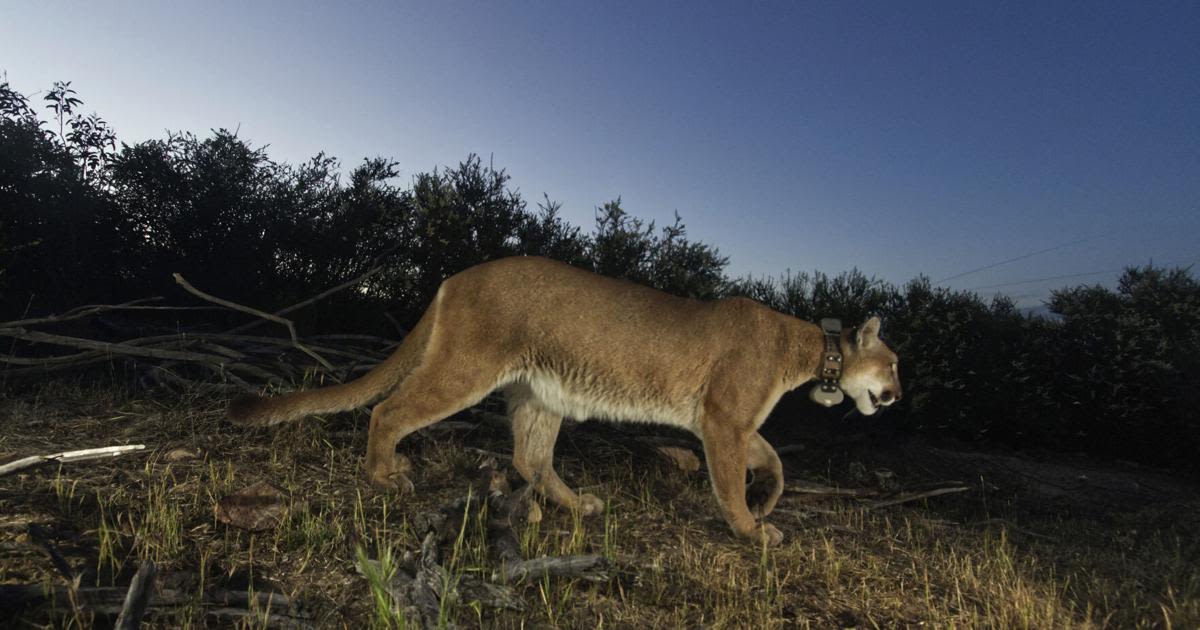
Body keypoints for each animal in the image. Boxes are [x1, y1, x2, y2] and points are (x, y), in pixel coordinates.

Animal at [226, 253, 902, 542]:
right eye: (894, 363)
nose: (896, 394)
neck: (812, 347)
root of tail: (454, 277)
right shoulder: (722, 419)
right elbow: (732, 480)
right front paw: (752, 529)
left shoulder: (728, 423)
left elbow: (773, 457)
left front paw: (769, 500)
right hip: (467, 369)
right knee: (388, 409)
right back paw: (385, 475)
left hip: (542, 393)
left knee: (530, 457)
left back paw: (578, 506)